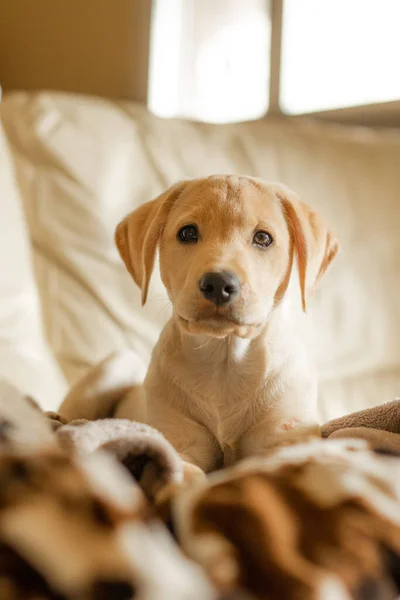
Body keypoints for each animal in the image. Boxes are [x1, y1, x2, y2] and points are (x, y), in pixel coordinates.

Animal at [115, 176, 338, 476]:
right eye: (187, 233)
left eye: (263, 238)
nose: (218, 283)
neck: (224, 361)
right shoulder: (178, 441)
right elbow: (187, 473)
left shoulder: (284, 435)